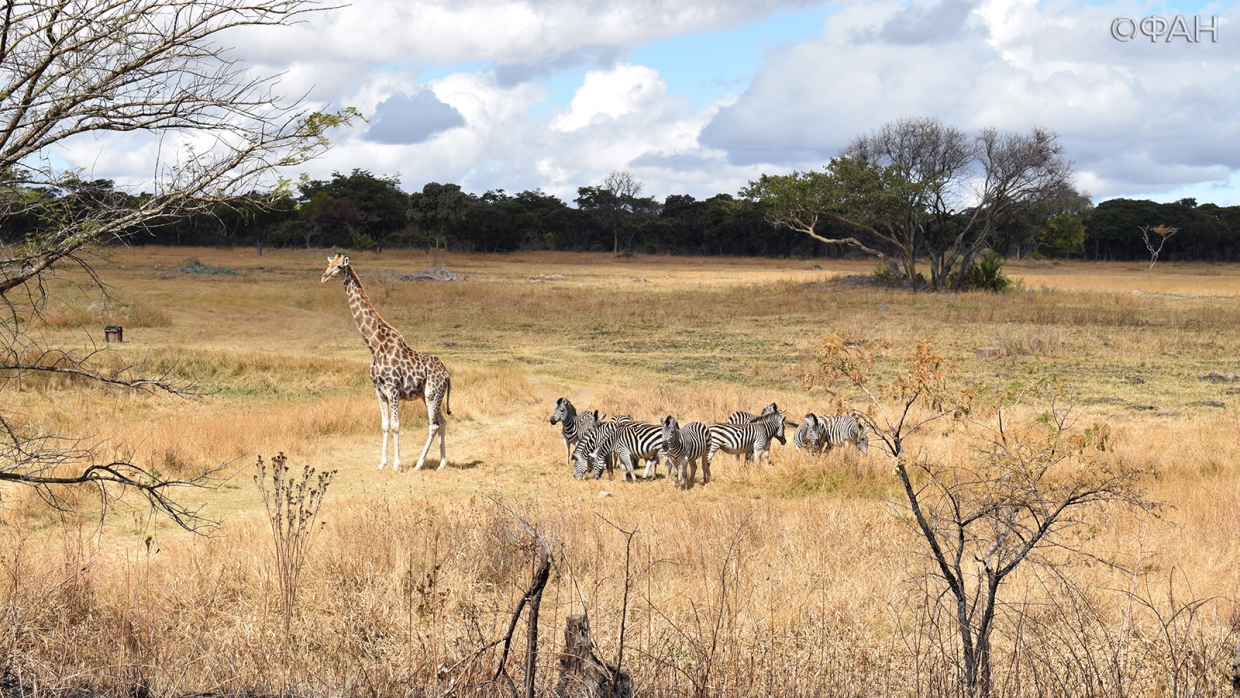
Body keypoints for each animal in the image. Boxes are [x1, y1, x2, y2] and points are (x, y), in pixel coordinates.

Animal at [322, 254, 453, 473]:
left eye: (339, 266)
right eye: (328, 264)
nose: (324, 277)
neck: (375, 347)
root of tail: (448, 375)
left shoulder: (393, 389)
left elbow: (396, 425)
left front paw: (397, 465)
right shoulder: (379, 390)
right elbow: (384, 425)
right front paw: (382, 463)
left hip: (432, 393)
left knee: (433, 424)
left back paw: (419, 464)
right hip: (428, 396)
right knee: (441, 422)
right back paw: (441, 464)